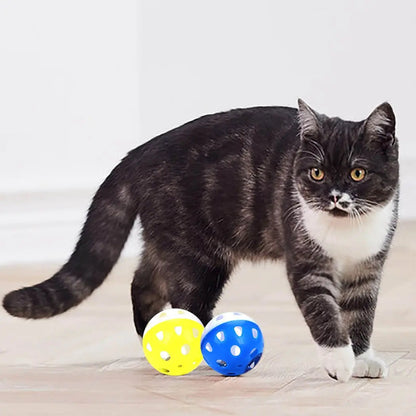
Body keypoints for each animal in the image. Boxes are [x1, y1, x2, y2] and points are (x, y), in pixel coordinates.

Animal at [4, 99, 400, 382]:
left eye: (358, 173)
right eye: (316, 173)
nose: (335, 198)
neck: (347, 232)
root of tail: (139, 153)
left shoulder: (368, 267)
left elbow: (361, 312)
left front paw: (361, 358)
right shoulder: (306, 262)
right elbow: (322, 310)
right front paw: (339, 361)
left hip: (169, 239)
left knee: (144, 282)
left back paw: (152, 337)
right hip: (198, 253)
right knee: (185, 297)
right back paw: (205, 347)